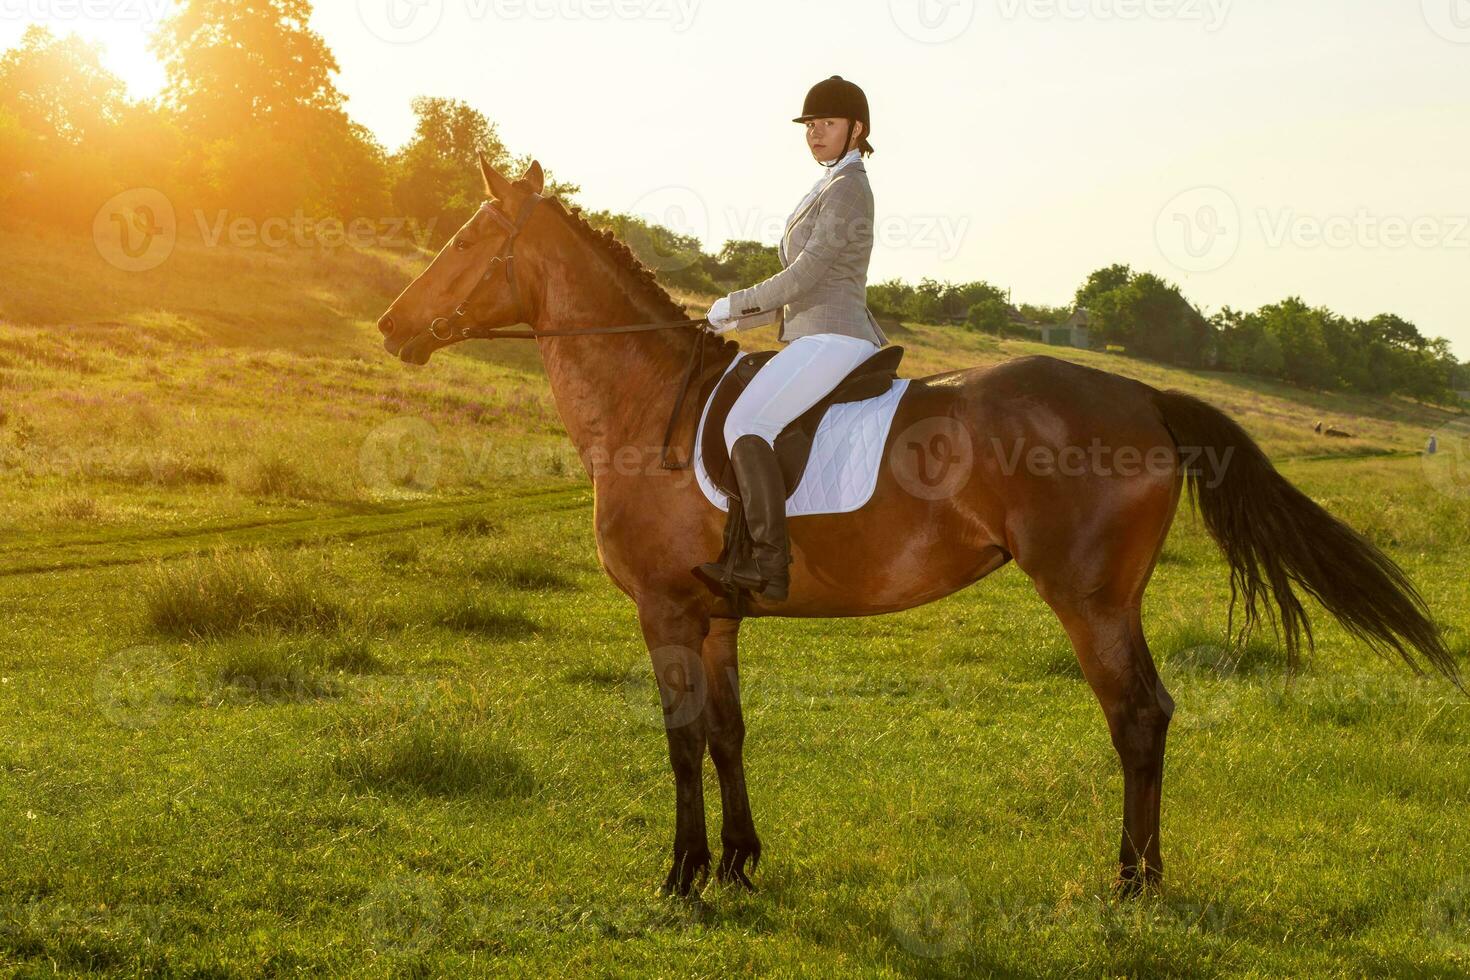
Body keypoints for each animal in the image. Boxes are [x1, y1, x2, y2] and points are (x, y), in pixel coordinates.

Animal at [376, 157, 1458, 899]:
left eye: (467, 240)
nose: (392, 327)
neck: (648, 403)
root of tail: (1144, 395)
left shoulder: (664, 610)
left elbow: (682, 739)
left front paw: (681, 875)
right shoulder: (714, 615)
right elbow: (726, 732)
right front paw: (739, 862)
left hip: (1088, 595)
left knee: (1138, 716)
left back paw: (1129, 881)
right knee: (1146, 714)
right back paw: (1139, 873)